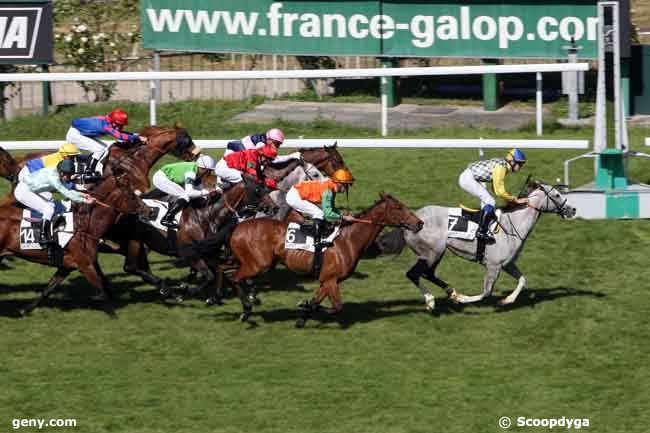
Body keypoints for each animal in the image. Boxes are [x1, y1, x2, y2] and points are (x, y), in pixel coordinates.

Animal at [0, 169, 153, 314]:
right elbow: (101, 291)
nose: (150, 211)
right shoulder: (84, 265)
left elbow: (48, 289)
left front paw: (26, 309)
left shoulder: (67, 266)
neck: (84, 226)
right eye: (132, 195)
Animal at [229, 192, 426, 324]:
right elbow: (337, 306)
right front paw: (303, 305)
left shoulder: (328, 279)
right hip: (259, 264)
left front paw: (303, 316)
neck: (348, 240)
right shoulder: (331, 279)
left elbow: (317, 301)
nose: (419, 223)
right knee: (235, 278)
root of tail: (237, 230)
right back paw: (246, 309)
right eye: (398, 207)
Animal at [374, 181, 572, 308]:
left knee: (427, 273)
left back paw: (450, 292)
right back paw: (432, 300)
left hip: (436, 252)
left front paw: (507, 300)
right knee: (414, 274)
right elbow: (486, 292)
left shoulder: (507, 264)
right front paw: (462, 299)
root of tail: (412, 220)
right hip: (432, 251)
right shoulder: (493, 266)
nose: (572, 209)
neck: (511, 226)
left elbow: (523, 279)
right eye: (556, 195)